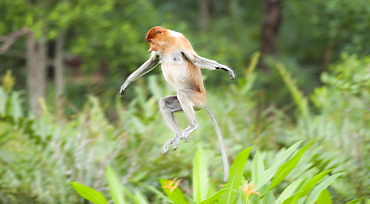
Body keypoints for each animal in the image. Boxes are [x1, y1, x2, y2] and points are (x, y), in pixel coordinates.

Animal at [120, 25, 236, 182]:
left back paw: (191, 126)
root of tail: (204, 101)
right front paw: (127, 82)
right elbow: (153, 61)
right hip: (183, 103)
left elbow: (195, 59)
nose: (150, 48)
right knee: (163, 102)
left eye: (151, 41)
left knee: (182, 94)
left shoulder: (181, 40)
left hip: (196, 99)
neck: (168, 43)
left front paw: (222, 67)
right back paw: (177, 136)